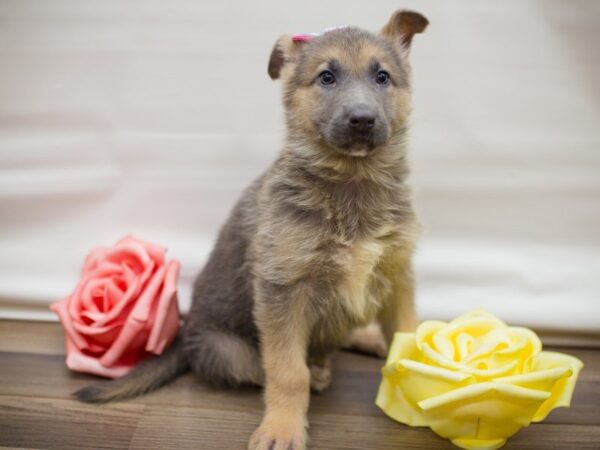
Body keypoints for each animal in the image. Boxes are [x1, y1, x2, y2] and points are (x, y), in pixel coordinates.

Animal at [77, 10, 428, 450]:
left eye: (382, 76)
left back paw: (369, 340)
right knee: (271, 366)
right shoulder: (283, 292)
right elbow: (287, 372)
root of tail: (185, 333)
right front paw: (282, 429)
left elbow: (408, 339)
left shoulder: (397, 276)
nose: (362, 119)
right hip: (227, 348)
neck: (352, 184)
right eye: (326, 77)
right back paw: (320, 372)